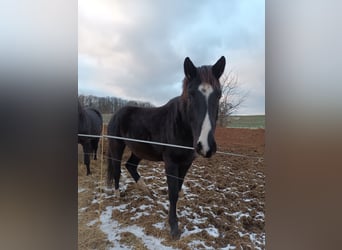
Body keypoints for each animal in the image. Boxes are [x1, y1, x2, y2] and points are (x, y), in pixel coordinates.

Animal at [105, 56, 226, 238]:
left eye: (218, 95)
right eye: (191, 94)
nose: (205, 146)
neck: (181, 124)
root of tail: (116, 113)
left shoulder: (186, 163)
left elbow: (179, 188)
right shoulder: (171, 163)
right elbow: (173, 193)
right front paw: (174, 227)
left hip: (139, 150)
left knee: (130, 166)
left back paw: (147, 191)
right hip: (117, 146)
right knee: (117, 169)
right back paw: (118, 194)